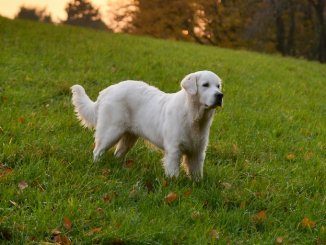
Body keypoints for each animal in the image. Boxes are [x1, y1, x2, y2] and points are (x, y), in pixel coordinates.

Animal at [70, 71, 224, 180]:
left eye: (218, 86)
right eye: (205, 85)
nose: (220, 95)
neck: (195, 118)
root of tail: (108, 90)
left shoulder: (198, 151)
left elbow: (197, 173)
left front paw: (197, 185)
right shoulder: (174, 150)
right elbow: (173, 172)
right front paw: (174, 185)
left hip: (129, 137)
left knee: (118, 153)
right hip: (111, 131)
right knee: (97, 151)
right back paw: (97, 166)